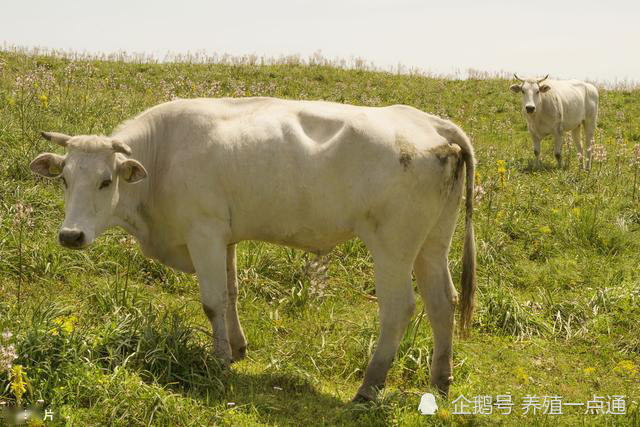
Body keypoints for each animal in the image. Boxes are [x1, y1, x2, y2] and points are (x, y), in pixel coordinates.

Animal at [30, 98, 478, 404]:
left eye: (106, 181)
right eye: (65, 178)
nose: (70, 236)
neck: (162, 157)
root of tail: (430, 122)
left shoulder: (204, 232)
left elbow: (212, 301)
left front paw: (216, 361)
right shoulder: (224, 238)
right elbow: (230, 294)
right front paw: (236, 348)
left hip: (392, 246)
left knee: (399, 309)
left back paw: (369, 388)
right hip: (433, 243)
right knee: (443, 302)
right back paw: (440, 380)